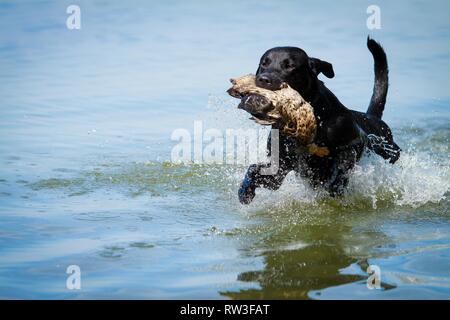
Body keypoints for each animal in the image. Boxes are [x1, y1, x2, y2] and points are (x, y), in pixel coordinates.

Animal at [239, 37, 400, 202]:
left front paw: (336, 187)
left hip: (391, 152)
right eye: (264, 63)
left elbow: (343, 167)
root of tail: (372, 117)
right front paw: (245, 191)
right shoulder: (280, 168)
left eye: (289, 65)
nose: (264, 79)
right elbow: (254, 170)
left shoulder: (355, 144)